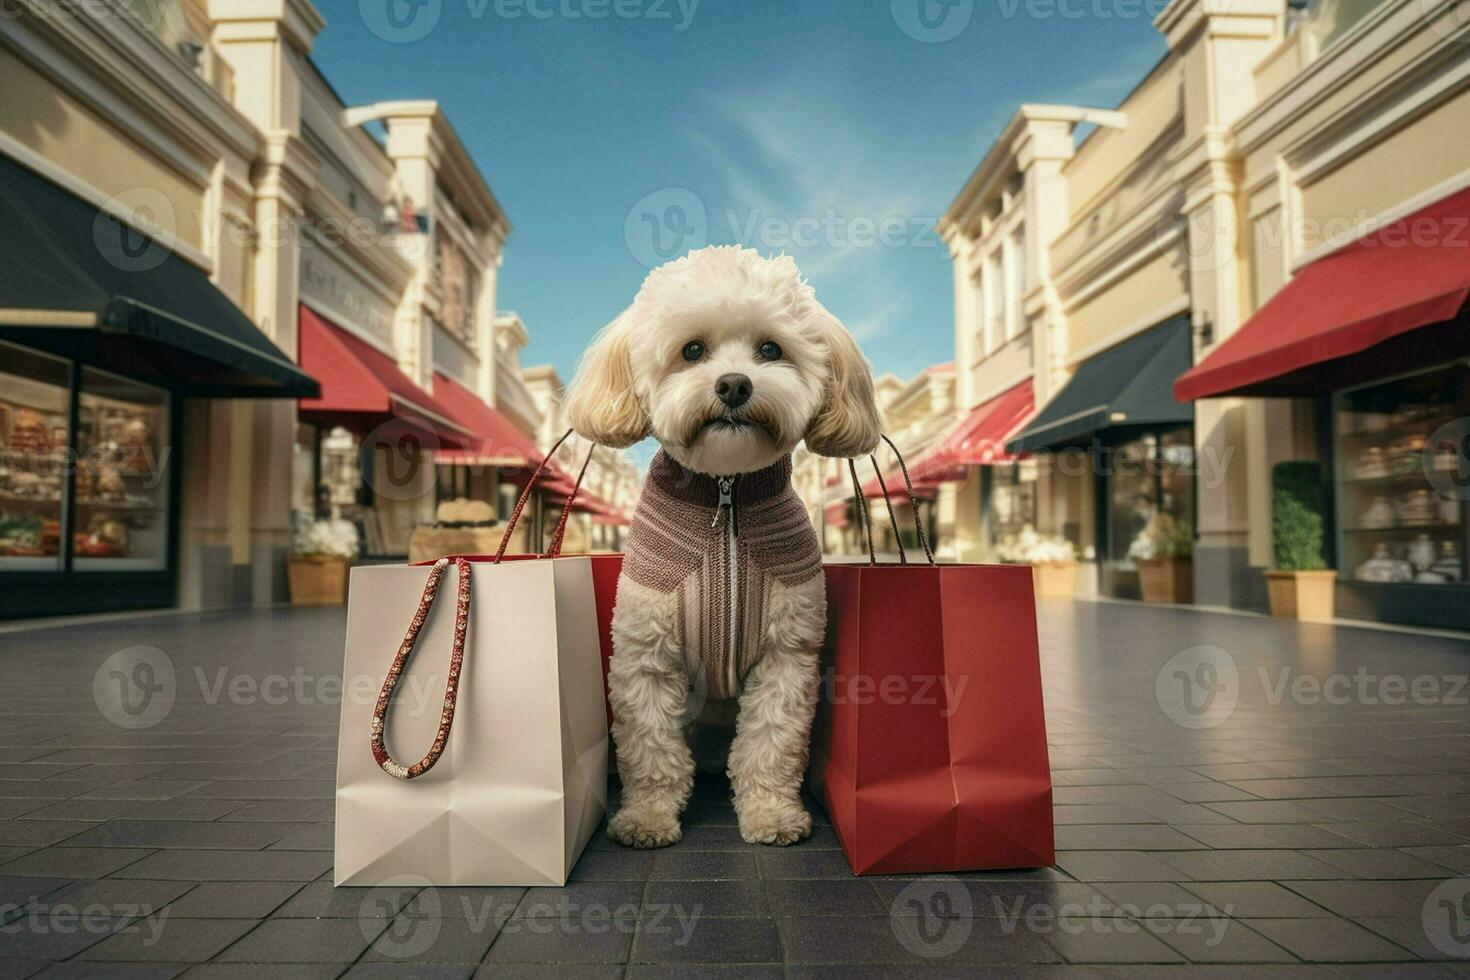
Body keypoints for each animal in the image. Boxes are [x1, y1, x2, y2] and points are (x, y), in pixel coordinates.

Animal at [564, 246, 876, 852]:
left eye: (770, 349)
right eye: (692, 350)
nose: (734, 385)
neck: (725, 495)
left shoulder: (786, 659)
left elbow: (771, 745)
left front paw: (772, 814)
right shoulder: (645, 659)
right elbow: (652, 750)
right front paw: (647, 817)